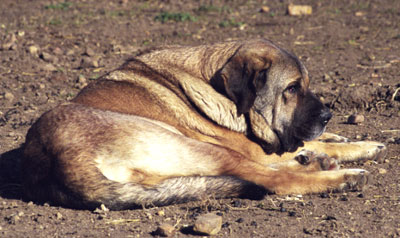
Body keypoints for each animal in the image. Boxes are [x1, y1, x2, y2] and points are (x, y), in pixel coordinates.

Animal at [20, 39, 386, 210]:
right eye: (292, 89)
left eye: (306, 85)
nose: (327, 116)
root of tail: (57, 159)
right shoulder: (253, 147)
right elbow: (296, 149)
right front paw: (359, 147)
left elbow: (312, 141)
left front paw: (342, 139)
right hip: (202, 147)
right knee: (273, 180)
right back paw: (342, 176)